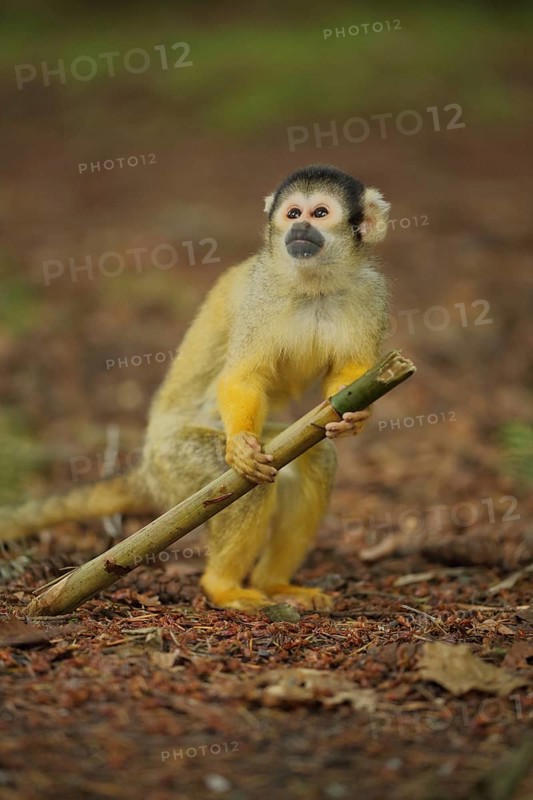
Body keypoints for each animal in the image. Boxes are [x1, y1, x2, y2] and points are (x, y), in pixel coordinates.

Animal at [0, 164, 390, 612]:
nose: (301, 228)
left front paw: (354, 416)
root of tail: (149, 470)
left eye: (320, 213)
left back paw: (274, 583)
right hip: (176, 461)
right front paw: (240, 444)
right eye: (293, 213)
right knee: (241, 486)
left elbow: (350, 375)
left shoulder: (372, 294)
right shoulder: (261, 298)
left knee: (316, 457)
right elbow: (242, 376)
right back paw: (221, 585)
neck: (314, 283)